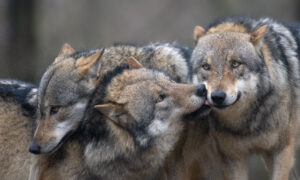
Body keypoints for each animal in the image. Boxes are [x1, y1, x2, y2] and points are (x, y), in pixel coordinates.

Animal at [191, 16, 300, 179]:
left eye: (235, 64)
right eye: (206, 66)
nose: (217, 96)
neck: (247, 124)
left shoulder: (281, 151)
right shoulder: (232, 158)